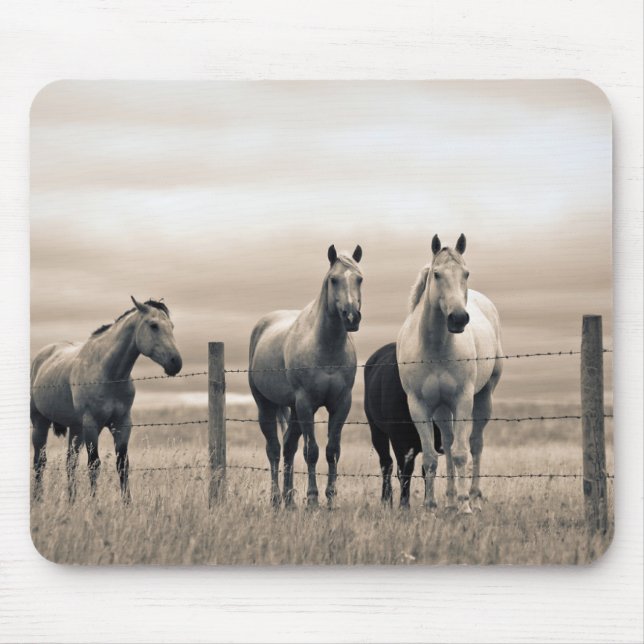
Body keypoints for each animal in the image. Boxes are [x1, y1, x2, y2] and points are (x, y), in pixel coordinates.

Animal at [30, 297, 182, 501]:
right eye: (154, 325)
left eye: (171, 326)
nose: (176, 362)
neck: (109, 374)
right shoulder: (91, 425)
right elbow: (94, 465)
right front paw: (94, 503)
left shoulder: (122, 424)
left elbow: (122, 465)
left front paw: (127, 503)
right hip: (41, 423)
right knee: (40, 461)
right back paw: (38, 499)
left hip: (76, 429)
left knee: (70, 462)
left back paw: (71, 500)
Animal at [248, 244, 363, 508]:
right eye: (333, 279)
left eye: (360, 278)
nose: (351, 317)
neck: (326, 348)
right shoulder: (306, 403)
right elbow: (312, 452)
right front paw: (312, 499)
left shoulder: (341, 404)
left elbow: (332, 450)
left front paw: (330, 499)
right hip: (267, 405)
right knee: (274, 449)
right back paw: (276, 499)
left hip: (293, 410)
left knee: (289, 446)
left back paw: (289, 500)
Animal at [364, 342, 444, 507]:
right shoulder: (400, 441)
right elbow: (405, 471)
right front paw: (404, 505)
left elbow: (426, 469)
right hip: (377, 432)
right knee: (386, 464)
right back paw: (386, 500)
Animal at [397, 234, 503, 514]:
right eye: (437, 274)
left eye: (466, 273)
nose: (458, 318)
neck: (435, 348)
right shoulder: (419, 406)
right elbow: (431, 457)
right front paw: (431, 506)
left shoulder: (463, 399)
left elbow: (460, 453)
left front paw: (465, 507)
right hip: (442, 409)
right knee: (447, 439)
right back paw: (451, 499)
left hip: (483, 397)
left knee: (475, 443)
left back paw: (472, 497)